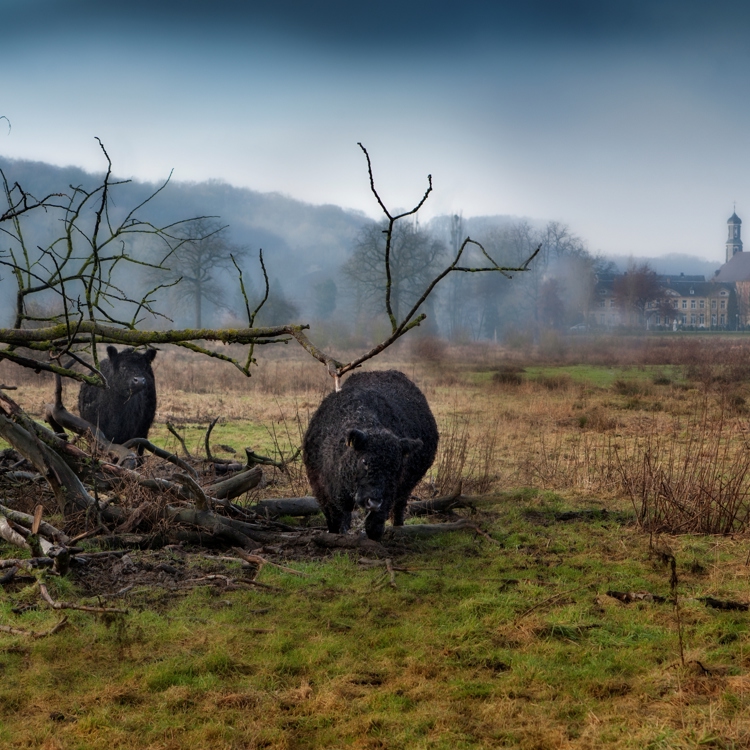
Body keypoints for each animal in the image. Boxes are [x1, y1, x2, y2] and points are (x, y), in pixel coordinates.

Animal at [302, 370, 438, 540]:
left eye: (396, 467)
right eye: (364, 461)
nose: (373, 502)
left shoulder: (387, 495)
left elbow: (374, 525)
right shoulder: (323, 491)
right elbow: (334, 522)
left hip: (406, 487)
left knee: (400, 507)